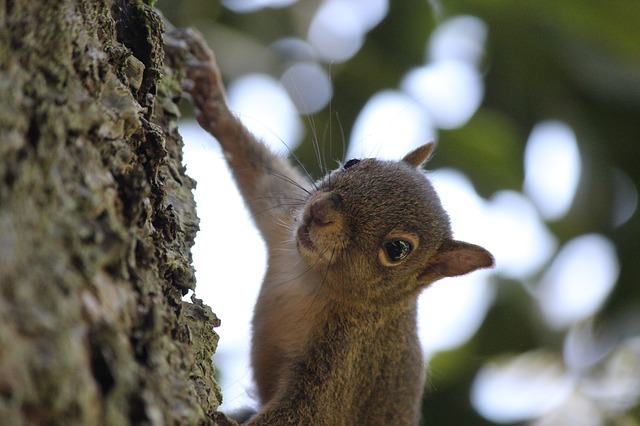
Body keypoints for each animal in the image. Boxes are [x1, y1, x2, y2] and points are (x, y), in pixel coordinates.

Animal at [181, 29, 495, 425]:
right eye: (353, 162)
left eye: (397, 250)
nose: (319, 211)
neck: (311, 276)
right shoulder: (286, 222)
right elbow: (264, 179)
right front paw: (214, 100)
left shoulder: (347, 362)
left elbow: (307, 413)